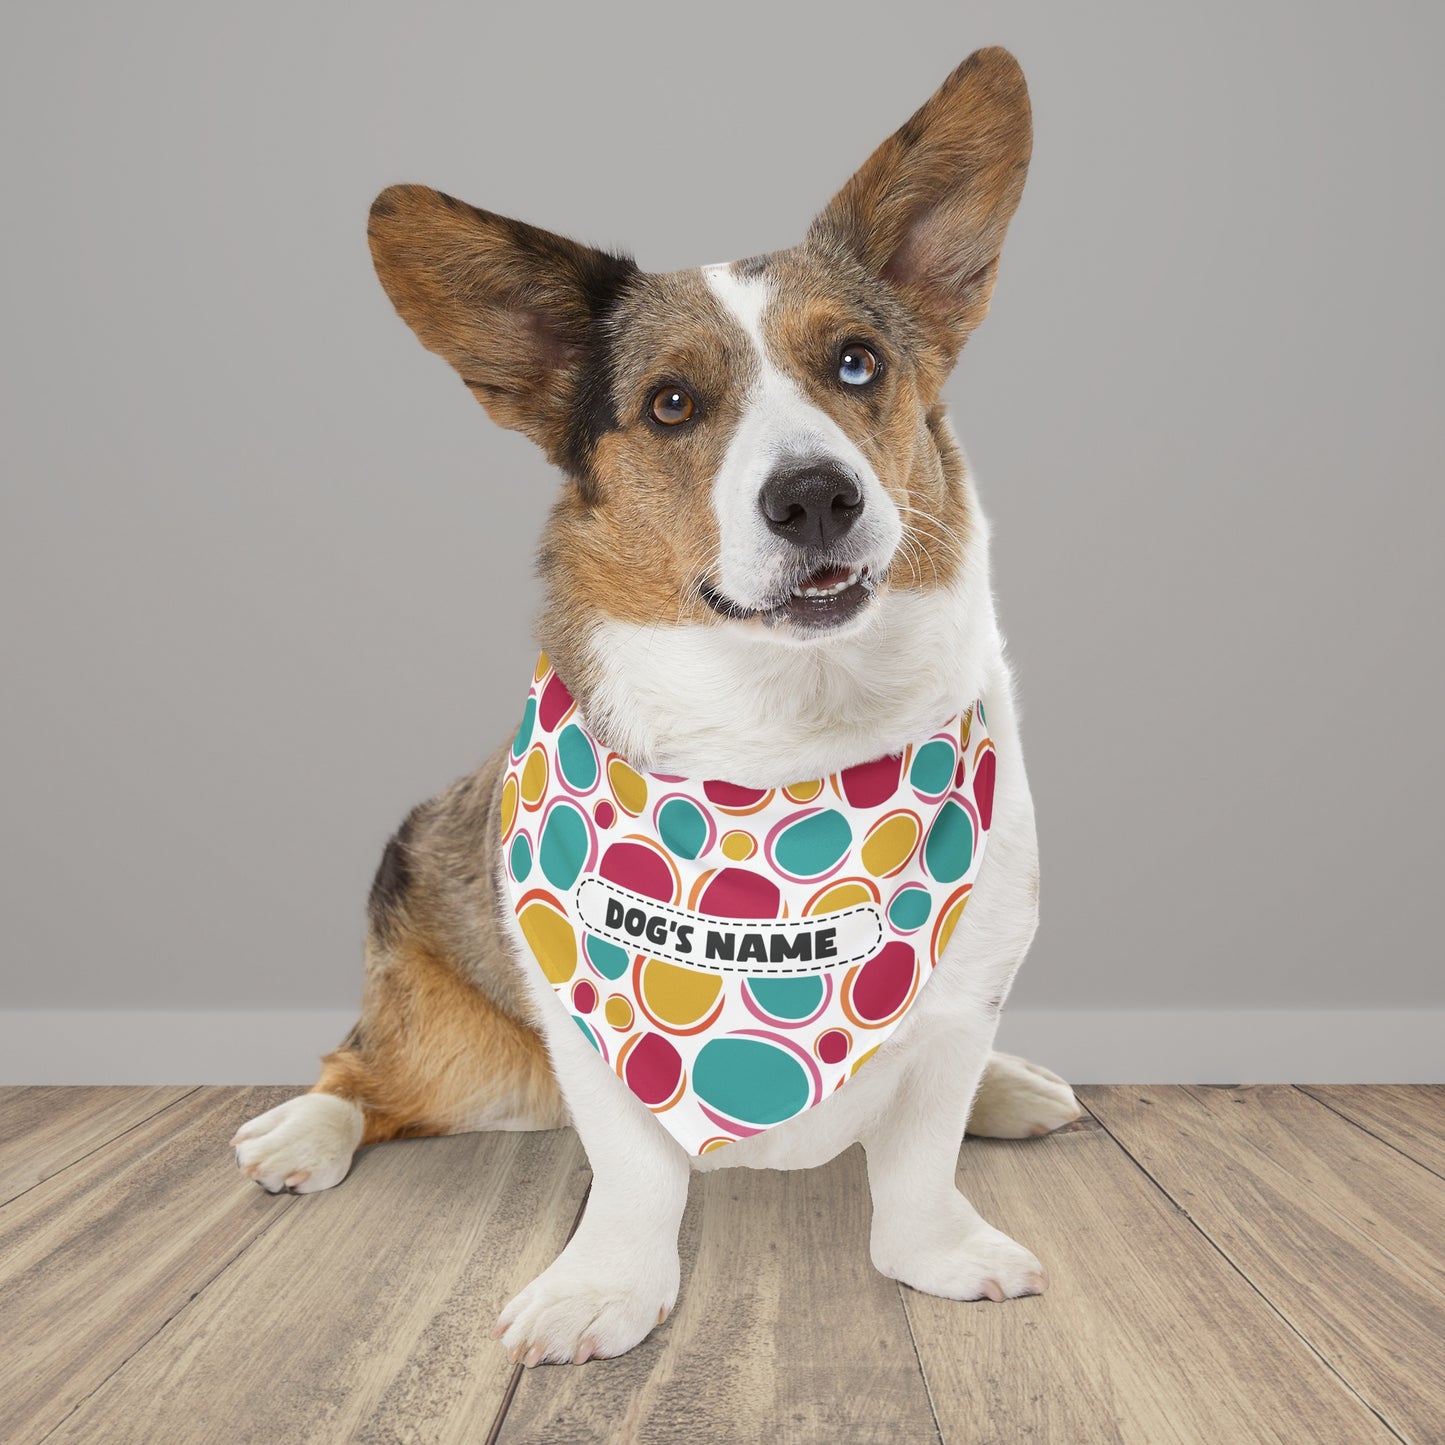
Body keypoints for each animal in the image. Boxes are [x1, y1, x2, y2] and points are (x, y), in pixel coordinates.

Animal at [228, 48, 1086, 1364]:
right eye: (671, 404)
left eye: (856, 363)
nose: (815, 497)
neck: (789, 745)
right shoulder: (591, 1041)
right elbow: (633, 1174)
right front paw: (601, 1289)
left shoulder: (959, 998)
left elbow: (920, 1153)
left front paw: (942, 1248)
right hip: (455, 1051)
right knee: (363, 1072)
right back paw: (301, 1131)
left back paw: (1012, 1086)